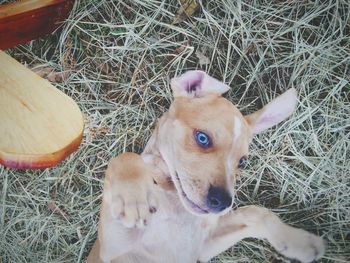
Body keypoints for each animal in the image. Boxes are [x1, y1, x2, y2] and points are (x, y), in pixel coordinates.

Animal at [88, 71, 326, 262]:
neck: (172, 198)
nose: (222, 202)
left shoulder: (203, 247)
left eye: (242, 161)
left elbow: (256, 213)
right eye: (202, 138)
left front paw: (299, 242)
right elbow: (124, 156)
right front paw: (133, 199)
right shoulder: (113, 249)